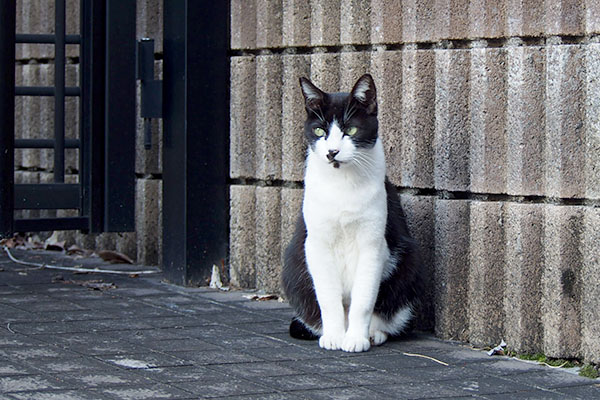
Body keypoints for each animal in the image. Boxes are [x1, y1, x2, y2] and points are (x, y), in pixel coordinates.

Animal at [282, 73, 420, 352]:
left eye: (352, 130)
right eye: (320, 131)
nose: (332, 152)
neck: (342, 185)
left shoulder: (373, 244)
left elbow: (364, 300)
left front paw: (356, 339)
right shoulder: (317, 244)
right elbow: (328, 299)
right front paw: (334, 337)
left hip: (408, 263)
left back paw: (373, 333)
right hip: (293, 264)